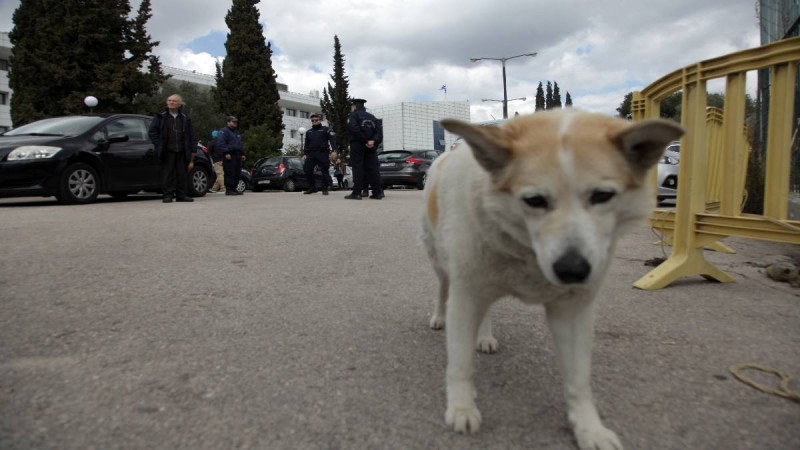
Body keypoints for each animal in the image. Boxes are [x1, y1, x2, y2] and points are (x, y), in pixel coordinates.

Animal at [418, 109, 680, 450]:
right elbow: (460, 363)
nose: (573, 270)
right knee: (443, 288)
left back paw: (484, 336)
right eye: (534, 200)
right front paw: (462, 409)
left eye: (603, 196)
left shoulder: (573, 311)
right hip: (442, 261)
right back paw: (438, 317)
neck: (526, 251)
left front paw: (588, 428)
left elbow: (578, 380)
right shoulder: (466, 295)